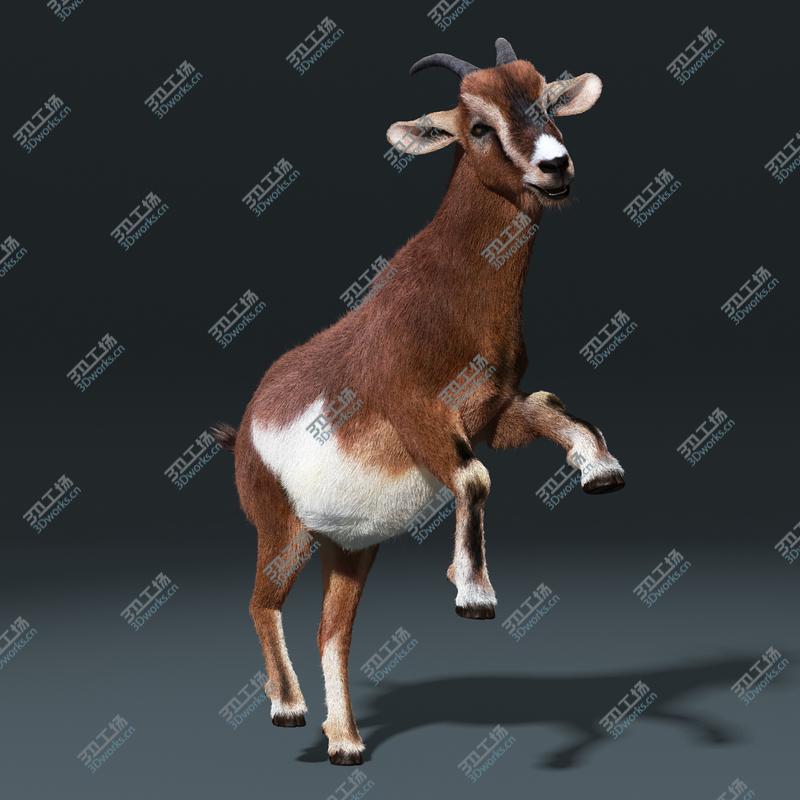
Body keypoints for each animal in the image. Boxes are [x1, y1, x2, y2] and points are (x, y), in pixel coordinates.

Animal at [213, 37, 625, 765]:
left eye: (546, 102)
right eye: (479, 126)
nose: (555, 166)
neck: (446, 297)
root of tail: (248, 425)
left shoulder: (491, 411)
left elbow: (550, 409)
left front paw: (601, 471)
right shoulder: (418, 416)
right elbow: (474, 476)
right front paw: (474, 593)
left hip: (349, 548)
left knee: (332, 633)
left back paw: (345, 742)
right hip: (284, 531)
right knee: (262, 603)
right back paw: (289, 709)